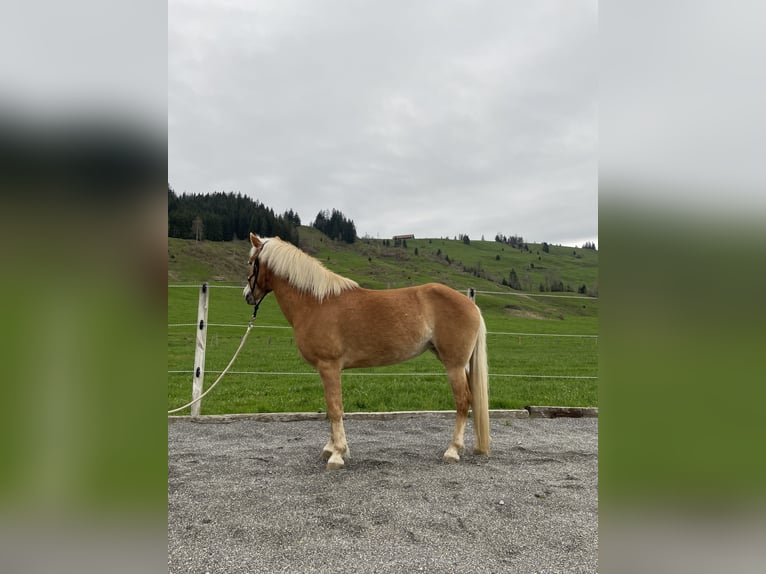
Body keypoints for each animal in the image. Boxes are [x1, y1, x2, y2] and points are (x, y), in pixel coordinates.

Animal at [244, 232, 492, 470]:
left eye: (252, 262)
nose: (247, 295)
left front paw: (337, 454)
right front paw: (330, 448)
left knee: (463, 401)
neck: (316, 302)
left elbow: (335, 408)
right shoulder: (327, 370)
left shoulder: (329, 366)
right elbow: (331, 408)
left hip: (454, 366)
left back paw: (452, 450)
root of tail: (472, 305)